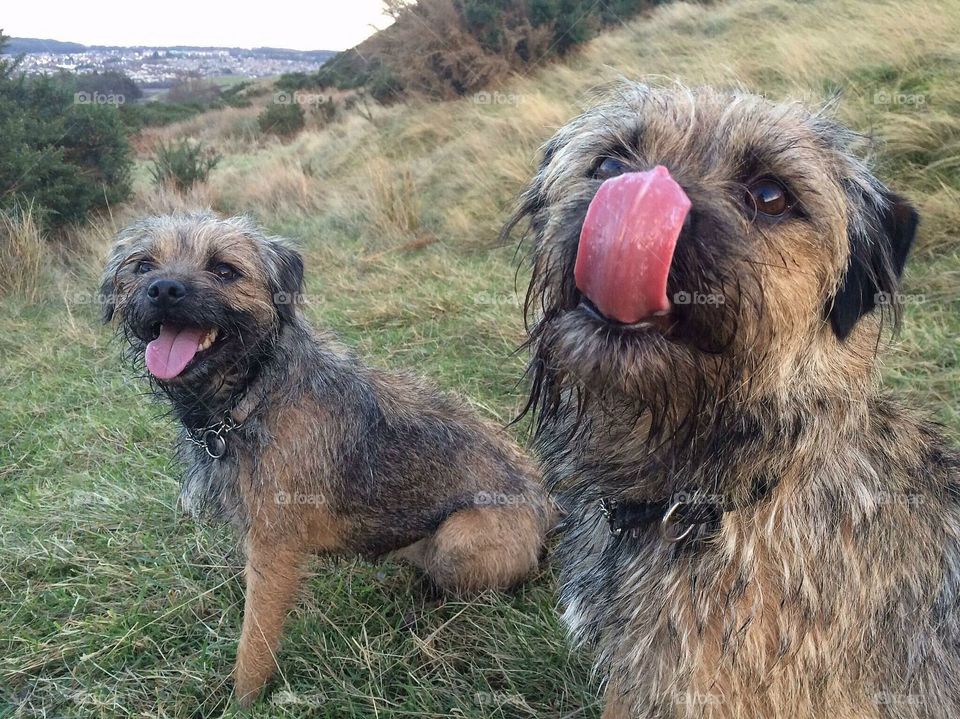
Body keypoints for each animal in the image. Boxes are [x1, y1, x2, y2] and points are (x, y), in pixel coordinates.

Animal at [100, 212, 552, 704]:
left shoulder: (273, 545)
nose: (163, 289)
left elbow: (255, 637)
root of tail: (551, 508)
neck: (256, 392)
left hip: (459, 537)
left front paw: (243, 701)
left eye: (224, 270)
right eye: (143, 266)